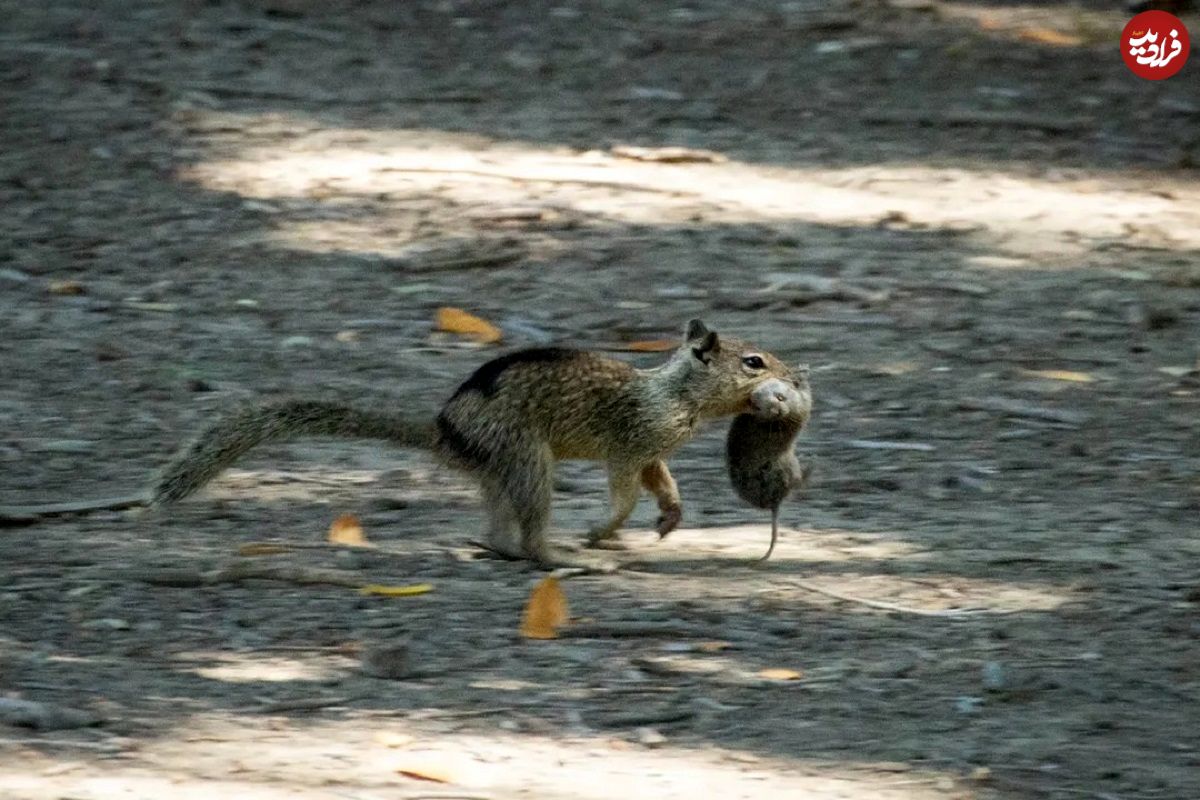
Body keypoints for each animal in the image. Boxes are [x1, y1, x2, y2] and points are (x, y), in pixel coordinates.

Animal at [154, 319, 801, 568]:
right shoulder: (631, 441)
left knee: (499, 526)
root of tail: (445, 432)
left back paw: (498, 548)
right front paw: (604, 529)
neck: (675, 392)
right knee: (533, 531)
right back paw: (561, 555)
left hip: (501, 470)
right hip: (528, 459)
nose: (796, 377)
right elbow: (624, 492)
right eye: (753, 362)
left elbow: (660, 479)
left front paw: (670, 515)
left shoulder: (652, 450)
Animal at [724, 371, 811, 563]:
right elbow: (807, 397)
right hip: (789, 469)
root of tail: (774, 501)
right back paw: (810, 467)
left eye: (780, 397)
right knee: (797, 482)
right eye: (759, 407)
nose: (778, 410)